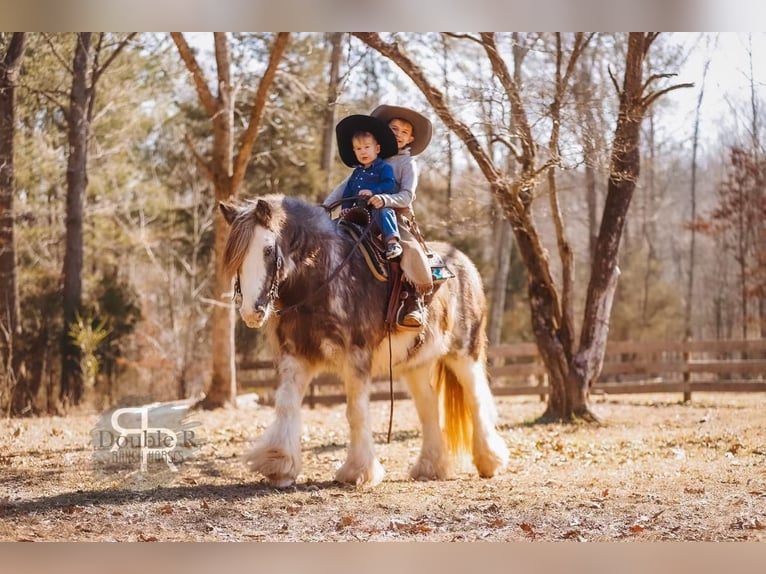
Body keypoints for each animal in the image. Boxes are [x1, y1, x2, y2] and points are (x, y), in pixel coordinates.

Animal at [220, 196, 510, 488]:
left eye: (268, 250)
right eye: (235, 256)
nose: (251, 312)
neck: (323, 278)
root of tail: (465, 263)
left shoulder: (356, 357)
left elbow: (355, 412)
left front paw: (358, 471)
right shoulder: (296, 356)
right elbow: (286, 404)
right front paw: (279, 465)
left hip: (464, 354)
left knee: (477, 399)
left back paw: (489, 461)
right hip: (415, 366)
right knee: (428, 406)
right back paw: (430, 467)